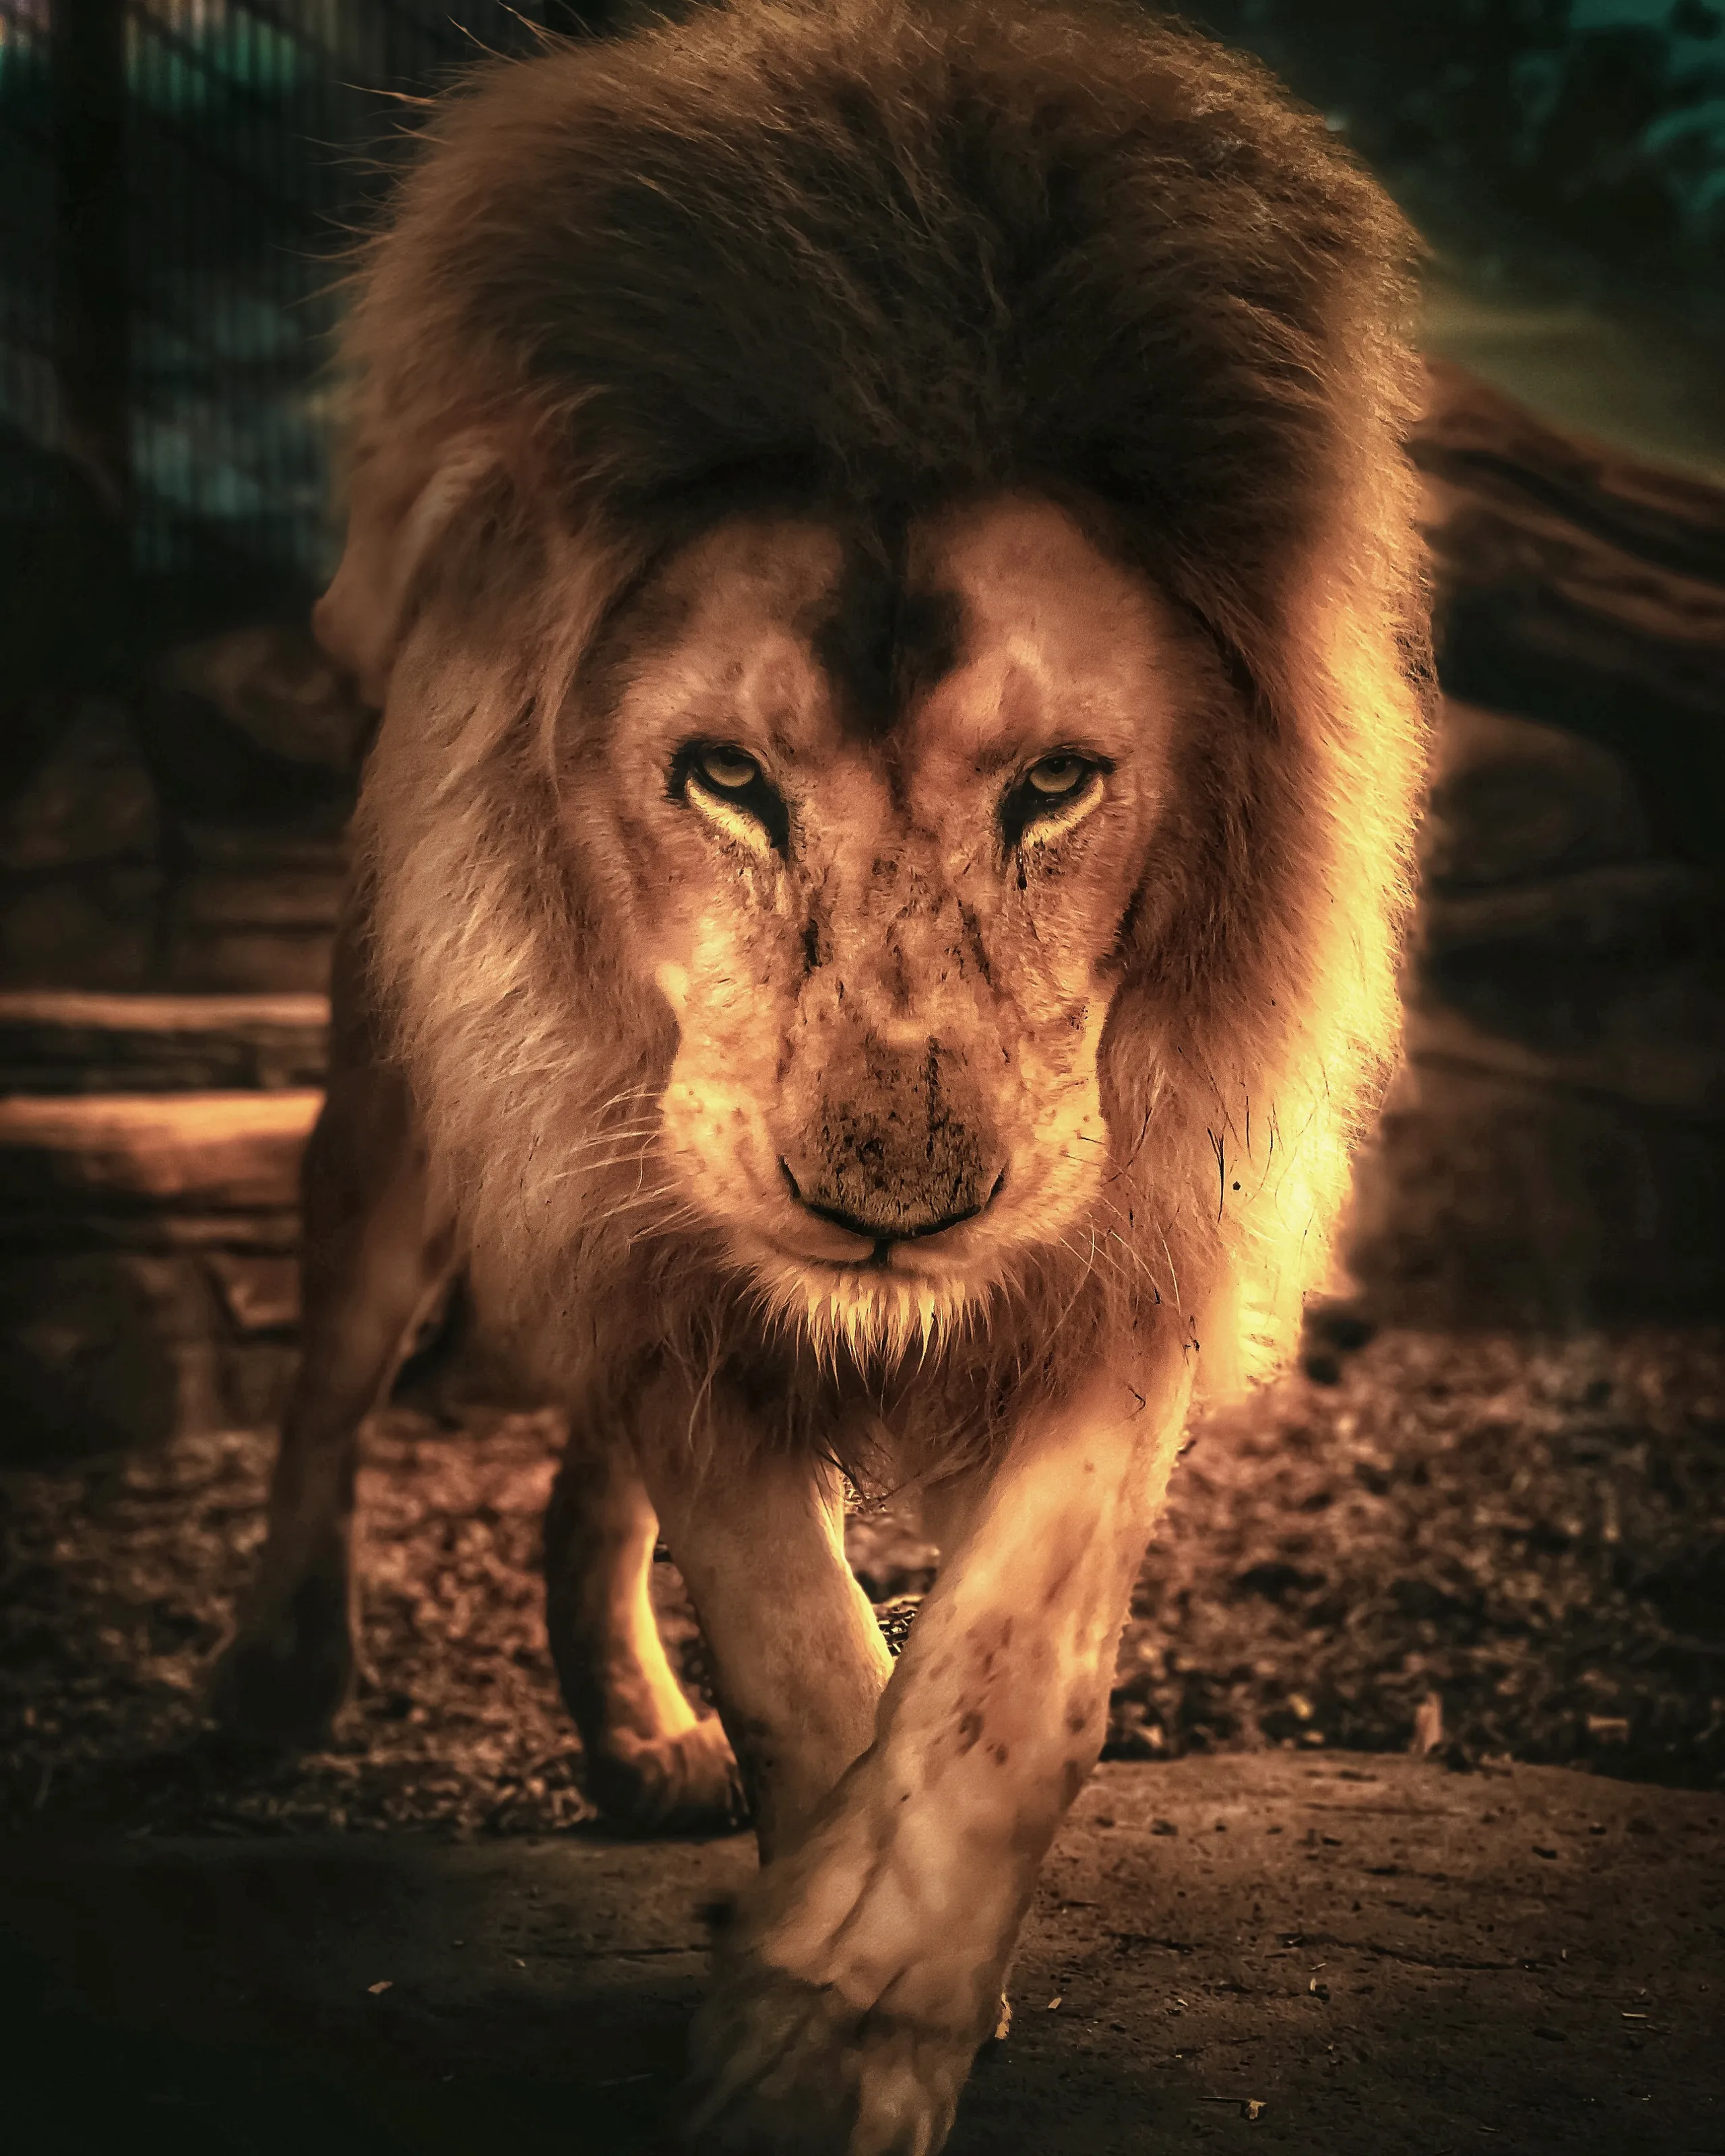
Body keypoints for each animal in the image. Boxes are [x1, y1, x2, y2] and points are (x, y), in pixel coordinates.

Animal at [212, 3, 1430, 2148]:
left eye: (1056, 784)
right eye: (722, 777)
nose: (888, 1214)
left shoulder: (1129, 1240)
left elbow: (1014, 1670)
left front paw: (856, 1995)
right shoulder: (637, 1194)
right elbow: (794, 1634)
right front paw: (816, 2001)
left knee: (585, 1481)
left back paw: (638, 1739)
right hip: (429, 1116)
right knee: (335, 1373)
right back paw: (281, 1673)